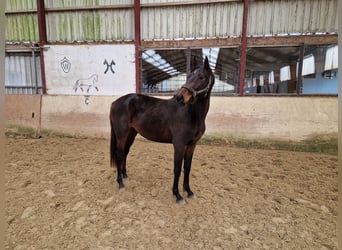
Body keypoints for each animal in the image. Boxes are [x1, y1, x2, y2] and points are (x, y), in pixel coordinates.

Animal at [109, 56, 215, 203]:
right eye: (188, 77)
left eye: (201, 77)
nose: (180, 97)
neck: (191, 114)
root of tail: (115, 102)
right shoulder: (179, 144)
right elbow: (177, 168)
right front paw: (177, 195)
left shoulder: (192, 144)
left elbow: (187, 167)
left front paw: (188, 191)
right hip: (121, 134)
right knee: (119, 154)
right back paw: (120, 183)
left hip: (131, 133)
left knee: (125, 152)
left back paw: (125, 176)